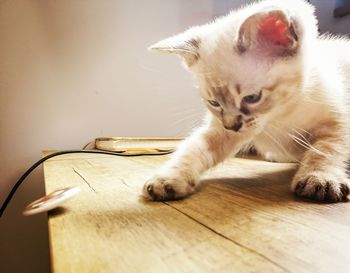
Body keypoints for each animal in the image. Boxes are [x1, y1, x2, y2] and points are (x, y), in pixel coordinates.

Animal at [142, 0, 350, 202]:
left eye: (252, 98)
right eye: (214, 103)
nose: (231, 126)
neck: (279, 116)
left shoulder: (336, 123)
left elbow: (325, 151)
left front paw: (320, 178)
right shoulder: (220, 131)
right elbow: (191, 151)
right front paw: (166, 180)